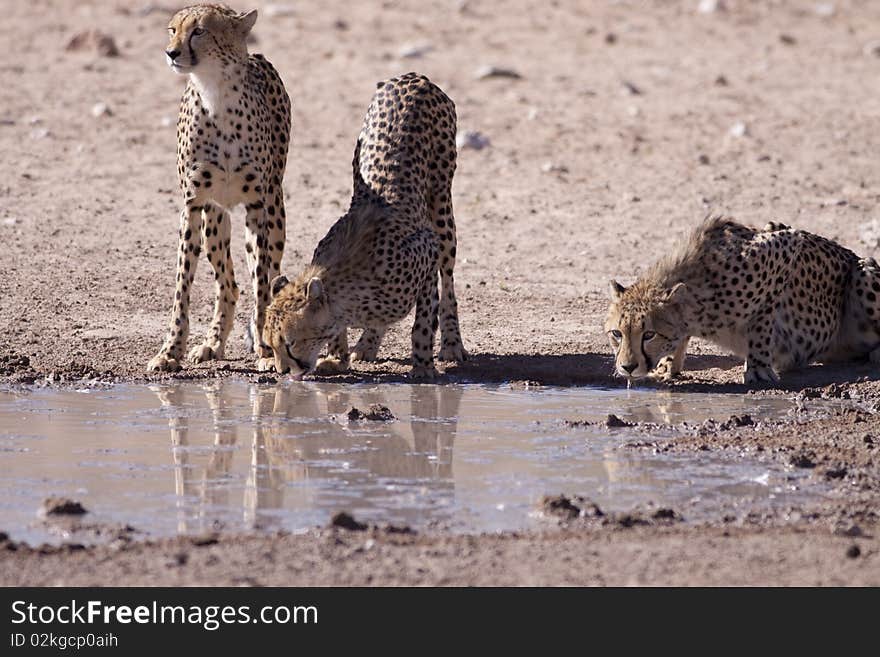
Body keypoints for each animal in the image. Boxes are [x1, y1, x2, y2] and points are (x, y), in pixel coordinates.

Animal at [148, 5, 290, 372]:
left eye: (199, 31)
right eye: (172, 30)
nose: (171, 53)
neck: (216, 93)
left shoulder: (257, 206)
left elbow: (262, 285)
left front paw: (265, 351)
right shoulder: (193, 204)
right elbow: (182, 286)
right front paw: (171, 351)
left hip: (274, 210)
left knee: (266, 274)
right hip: (214, 220)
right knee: (228, 284)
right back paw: (212, 343)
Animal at [262, 72, 468, 380]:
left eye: (290, 343)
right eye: (270, 345)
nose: (283, 371)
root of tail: (414, 77)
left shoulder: (427, 248)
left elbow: (423, 320)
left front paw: (422, 364)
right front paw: (337, 357)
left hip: (442, 209)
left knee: (449, 282)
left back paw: (452, 343)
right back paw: (368, 343)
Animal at [604, 217, 880, 384]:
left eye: (649, 334)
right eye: (617, 333)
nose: (628, 367)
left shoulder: (786, 246)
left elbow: (762, 322)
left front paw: (758, 367)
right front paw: (668, 364)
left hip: (863, 274)